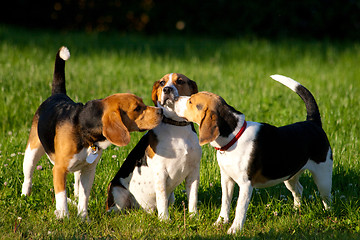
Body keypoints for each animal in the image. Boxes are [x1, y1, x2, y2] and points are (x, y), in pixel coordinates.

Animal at [21, 47, 162, 221]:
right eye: (137, 108)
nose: (161, 111)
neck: (84, 128)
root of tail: (58, 94)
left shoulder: (89, 171)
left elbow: (84, 197)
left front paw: (83, 217)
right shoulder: (59, 170)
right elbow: (61, 196)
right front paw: (64, 216)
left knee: (76, 182)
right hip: (32, 151)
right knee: (28, 176)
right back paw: (25, 195)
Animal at [105, 72, 201, 219]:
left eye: (180, 81)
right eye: (162, 83)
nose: (167, 89)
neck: (177, 127)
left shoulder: (194, 172)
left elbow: (193, 198)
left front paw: (193, 216)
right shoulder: (160, 172)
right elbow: (161, 198)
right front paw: (165, 219)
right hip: (117, 192)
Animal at [173, 74, 334, 232]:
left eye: (191, 101)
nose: (174, 98)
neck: (233, 139)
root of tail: (312, 123)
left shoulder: (245, 184)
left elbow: (240, 208)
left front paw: (235, 229)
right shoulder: (226, 179)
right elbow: (225, 202)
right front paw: (220, 222)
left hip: (323, 176)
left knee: (327, 197)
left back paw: (328, 214)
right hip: (290, 176)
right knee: (299, 190)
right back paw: (296, 209)